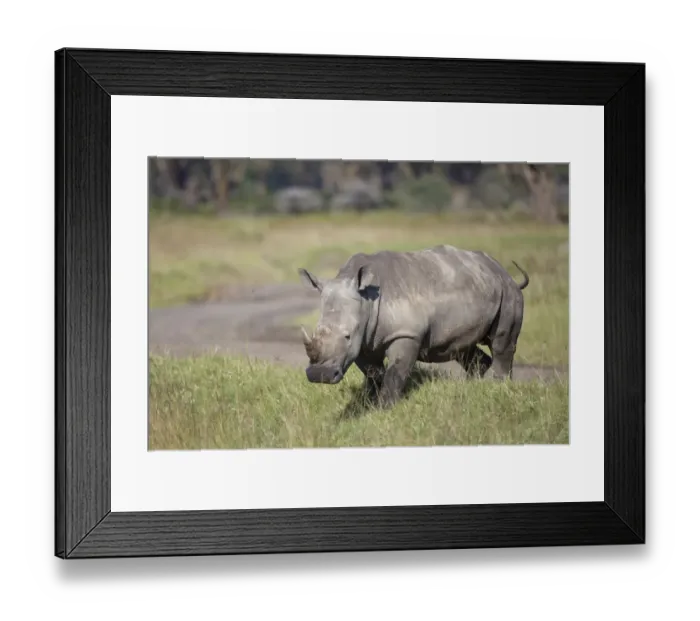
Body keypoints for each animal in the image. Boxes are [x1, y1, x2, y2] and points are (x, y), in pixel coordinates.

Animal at [298, 245, 529, 408]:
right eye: (316, 332)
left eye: (346, 336)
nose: (319, 375)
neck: (367, 300)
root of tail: (503, 272)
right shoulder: (363, 340)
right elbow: (373, 372)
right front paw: (369, 403)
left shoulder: (406, 334)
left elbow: (396, 372)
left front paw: (385, 408)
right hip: (480, 288)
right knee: (463, 349)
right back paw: (474, 387)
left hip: (508, 292)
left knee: (501, 343)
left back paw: (498, 387)